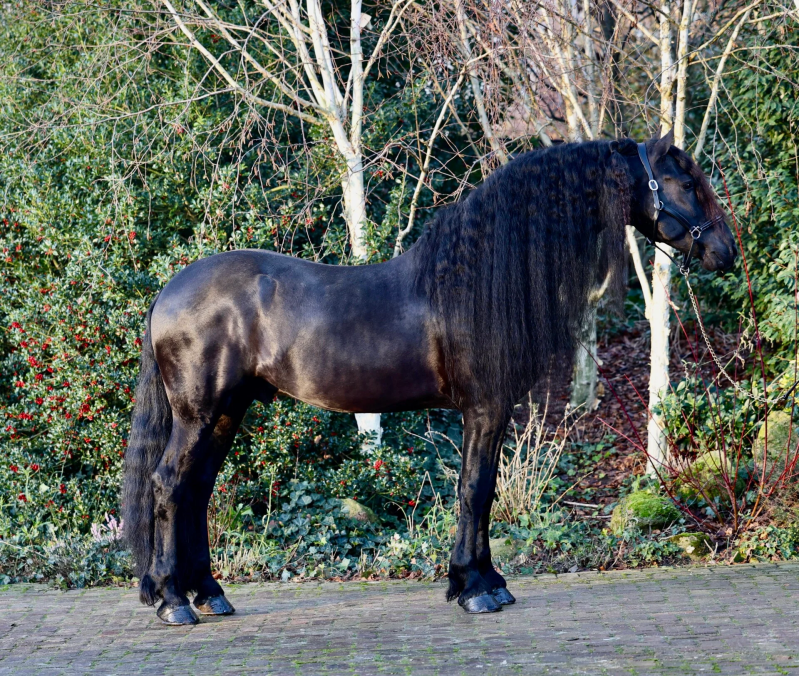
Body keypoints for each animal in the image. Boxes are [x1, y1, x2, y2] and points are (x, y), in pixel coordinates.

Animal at [122, 131, 737, 624]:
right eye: (686, 182)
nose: (726, 251)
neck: (475, 281)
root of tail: (168, 292)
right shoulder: (485, 406)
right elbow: (475, 488)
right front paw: (474, 588)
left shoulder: (491, 410)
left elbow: (481, 491)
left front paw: (487, 581)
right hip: (199, 413)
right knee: (169, 485)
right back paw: (173, 601)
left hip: (228, 411)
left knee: (196, 491)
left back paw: (209, 594)